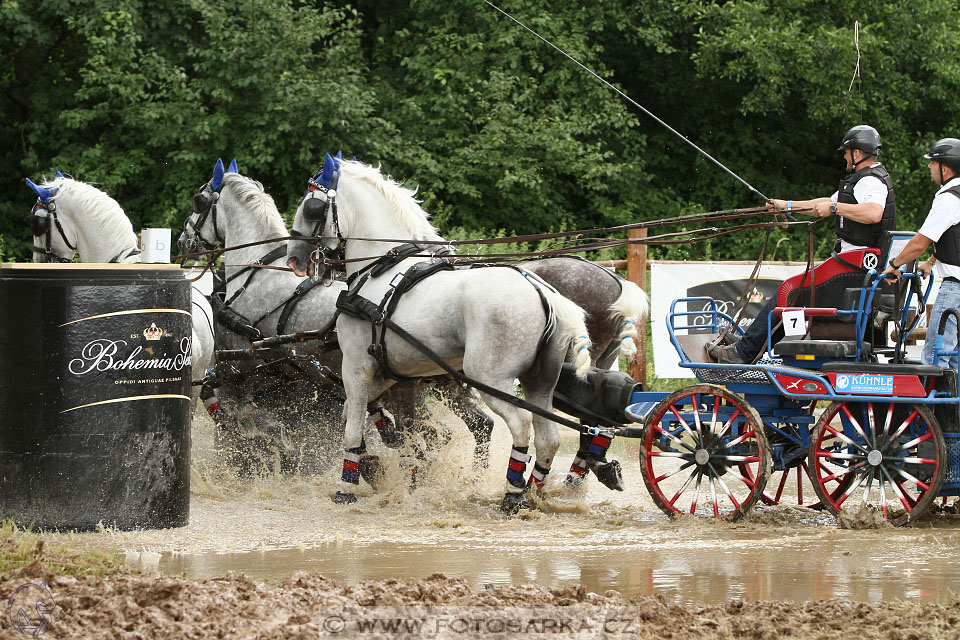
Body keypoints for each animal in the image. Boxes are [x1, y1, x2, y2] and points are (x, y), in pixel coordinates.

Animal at [284, 155, 592, 510]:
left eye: (311, 206)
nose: (294, 258)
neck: (381, 269)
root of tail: (542, 291)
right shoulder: (390, 373)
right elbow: (361, 416)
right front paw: (376, 464)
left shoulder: (356, 366)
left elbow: (352, 424)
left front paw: (346, 486)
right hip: (539, 382)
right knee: (548, 438)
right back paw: (533, 493)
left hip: (489, 378)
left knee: (520, 425)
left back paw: (513, 493)